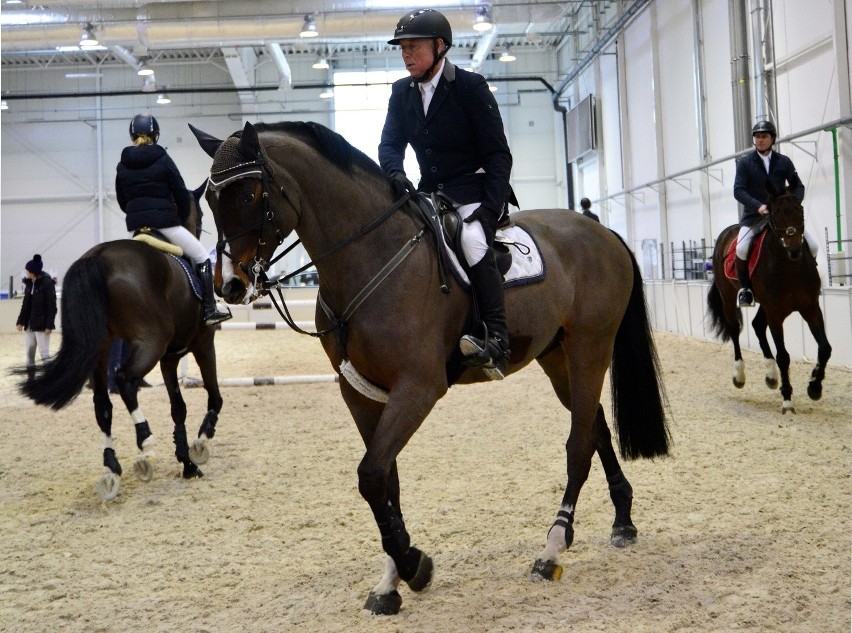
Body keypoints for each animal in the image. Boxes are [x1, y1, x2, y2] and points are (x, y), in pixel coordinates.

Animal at [17, 181, 223, 498]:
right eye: (199, 214)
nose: (198, 229)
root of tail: (98, 257)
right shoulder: (202, 345)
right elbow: (214, 396)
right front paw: (200, 444)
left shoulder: (170, 358)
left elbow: (178, 408)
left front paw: (187, 463)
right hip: (149, 342)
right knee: (125, 380)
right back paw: (145, 446)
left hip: (101, 349)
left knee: (102, 403)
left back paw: (111, 469)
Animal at [190, 121, 668, 616]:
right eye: (209, 201)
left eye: (249, 194)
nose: (230, 285)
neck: (370, 259)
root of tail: (603, 232)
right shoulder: (360, 393)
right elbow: (386, 481)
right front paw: (390, 581)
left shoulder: (418, 387)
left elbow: (371, 475)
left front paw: (413, 565)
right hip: (557, 359)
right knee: (595, 427)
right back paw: (622, 521)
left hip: (590, 347)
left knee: (578, 444)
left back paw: (552, 549)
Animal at [704, 180, 832, 412]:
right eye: (776, 213)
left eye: (800, 210)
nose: (794, 250)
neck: (790, 267)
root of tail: (726, 234)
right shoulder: (775, 313)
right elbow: (783, 355)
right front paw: (788, 400)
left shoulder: (810, 308)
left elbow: (825, 348)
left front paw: (814, 387)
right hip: (729, 298)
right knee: (735, 330)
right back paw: (739, 376)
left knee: (757, 325)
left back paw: (771, 376)